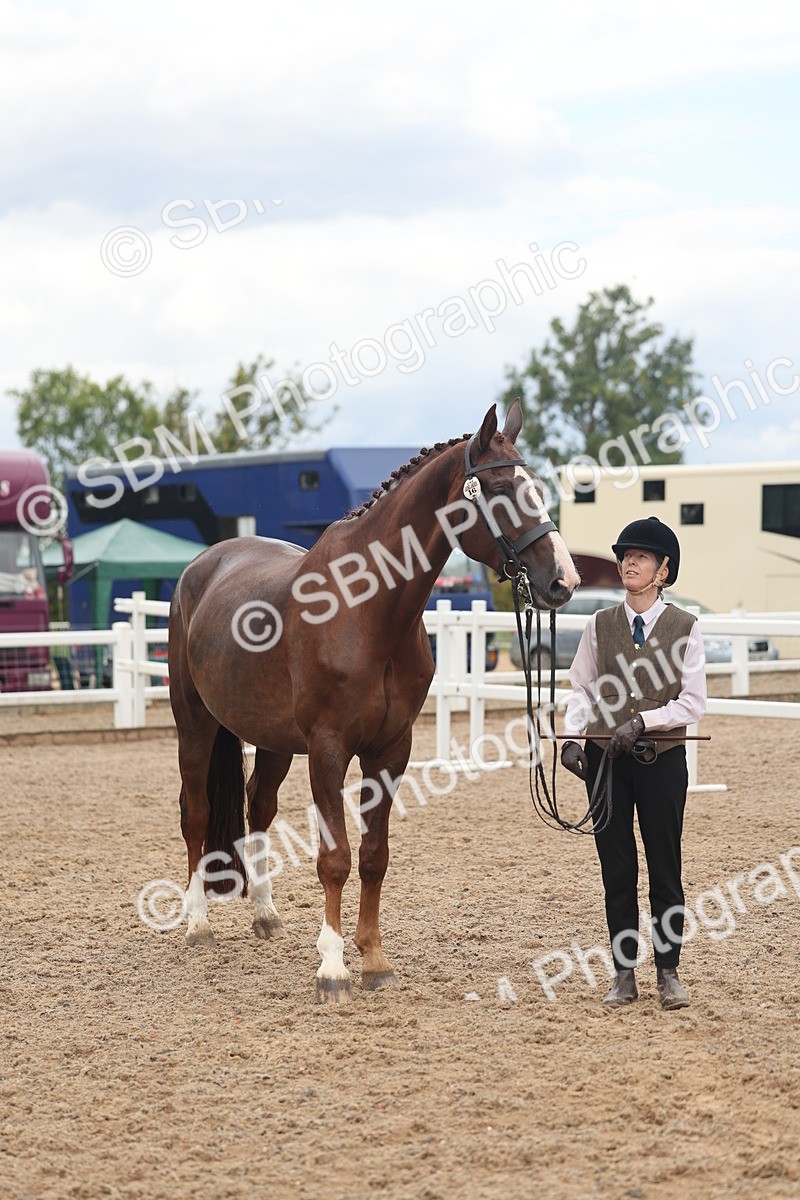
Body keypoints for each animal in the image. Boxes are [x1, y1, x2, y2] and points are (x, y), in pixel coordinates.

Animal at [168, 400, 580, 1003]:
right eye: (502, 489)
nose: (563, 582)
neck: (367, 611)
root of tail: (198, 570)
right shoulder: (329, 749)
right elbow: (335, 859)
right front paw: (332, 968)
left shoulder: (390, 750)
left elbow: (374, 857)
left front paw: (374, 959)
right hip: (195, 724)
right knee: (195, 814)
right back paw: (197, 922)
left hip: (272, 741)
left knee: (258, 806)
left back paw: (265, 915)